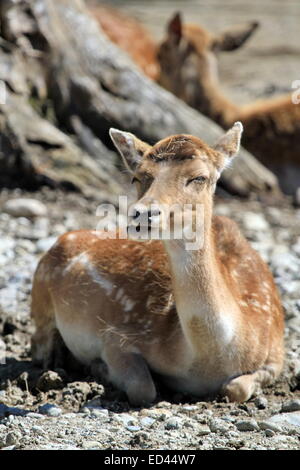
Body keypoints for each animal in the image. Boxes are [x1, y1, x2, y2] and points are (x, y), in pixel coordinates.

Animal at [30, 123, 284, 406]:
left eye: (199, 177)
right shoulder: (117, 336)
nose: (142, 213)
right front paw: (99, 368)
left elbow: (235, 388)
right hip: (40, 295)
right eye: (137, 177)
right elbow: (143, 388)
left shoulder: (277, 354)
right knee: (38, 343)